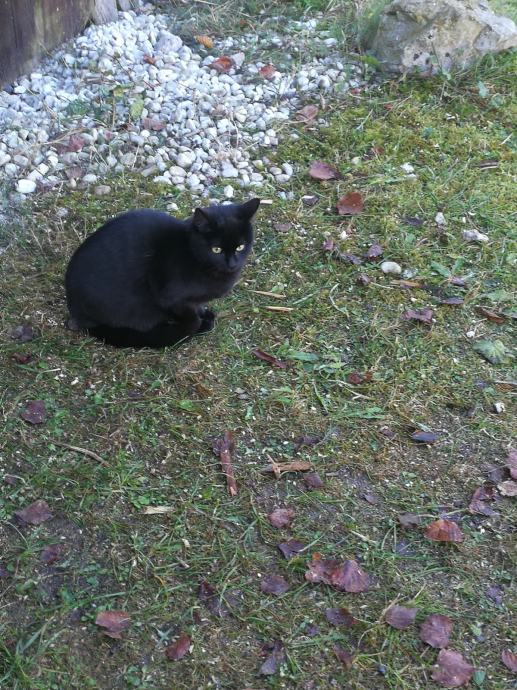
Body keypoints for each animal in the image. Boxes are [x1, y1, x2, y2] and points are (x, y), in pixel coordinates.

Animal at [65, 197, 260, 348]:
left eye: (241, 246)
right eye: (216, 249)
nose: (232, 263)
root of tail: (75, 310)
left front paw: (204, 314)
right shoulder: (170, 297)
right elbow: (191, 317)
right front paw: (195, 326)